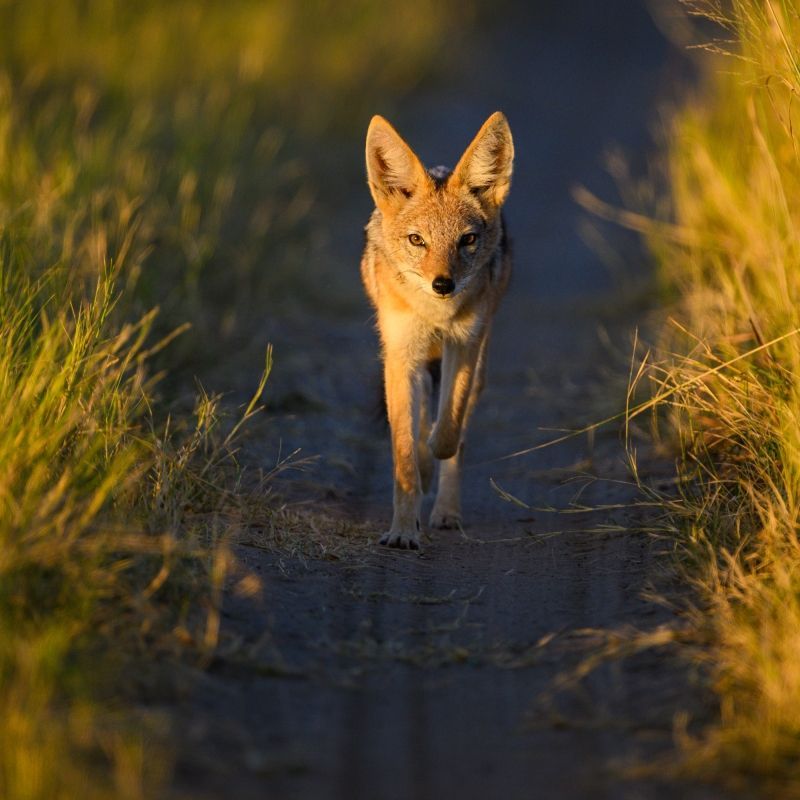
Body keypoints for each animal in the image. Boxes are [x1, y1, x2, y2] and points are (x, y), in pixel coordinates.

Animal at [361, 111, 514, 549]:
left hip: (477, 365)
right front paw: (401, 531)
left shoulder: (464, 346)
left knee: (455, 434)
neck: (436, 315)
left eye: (468, 240)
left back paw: (447, 512)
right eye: (417, 240)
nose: (443, 284)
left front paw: (431, 457)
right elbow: (404, 455)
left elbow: (448, 431)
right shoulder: (399, 356)